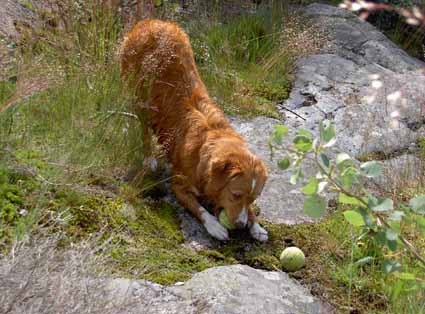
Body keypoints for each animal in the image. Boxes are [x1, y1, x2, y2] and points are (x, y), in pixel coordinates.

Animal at [121, 19, 268, 240]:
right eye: (236, 195)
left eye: (252, 198)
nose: (241, 226)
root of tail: (152, 22)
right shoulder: (179, 186)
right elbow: (198, 208)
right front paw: (214, 226)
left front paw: (256, 226)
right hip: (139, 98)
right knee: (144, 130)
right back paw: (149, 158)